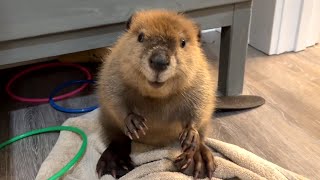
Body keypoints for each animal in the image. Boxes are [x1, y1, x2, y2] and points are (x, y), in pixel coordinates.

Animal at [96, 9, 216, 179]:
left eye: (183, 42)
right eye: (140, 37)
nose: (159, 61)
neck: (156, 95)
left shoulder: (200, 77)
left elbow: (200, 104)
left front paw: (190, 135)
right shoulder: (114, 68)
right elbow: (112, 96)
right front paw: (134, 122)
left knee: (202, 138)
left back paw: (198, 161)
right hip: (107, 122)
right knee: (117, 138)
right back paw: (116, 164)